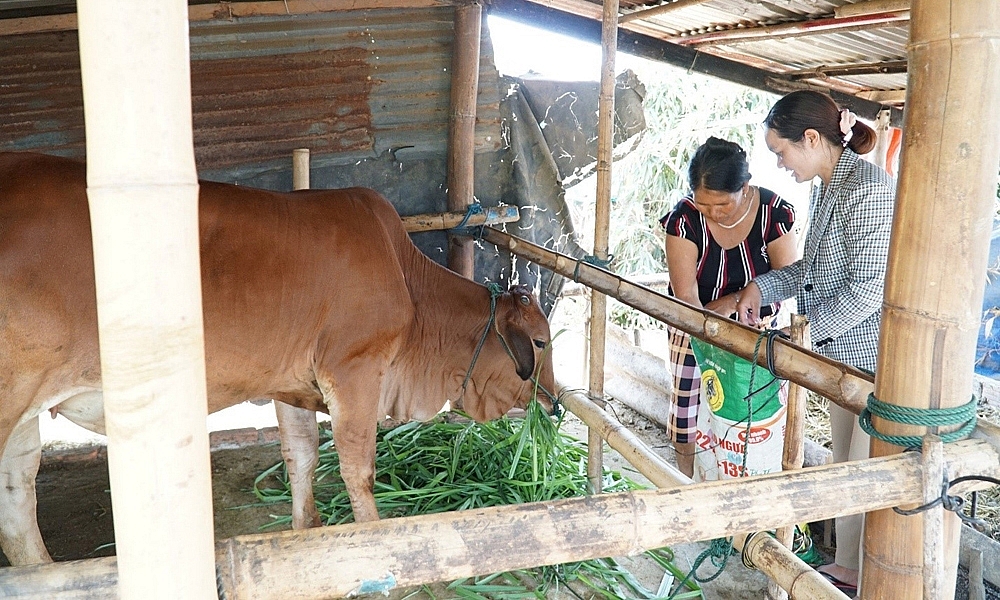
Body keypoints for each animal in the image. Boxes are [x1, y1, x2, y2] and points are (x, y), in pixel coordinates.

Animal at [0, 152, 556, 564]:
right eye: (541, 342)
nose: (554, 403)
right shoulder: (354, 369)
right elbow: (357, 469)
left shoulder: (292, 382)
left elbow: (301, 455)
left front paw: (306, 532)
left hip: (25, 417)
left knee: (18, 502)